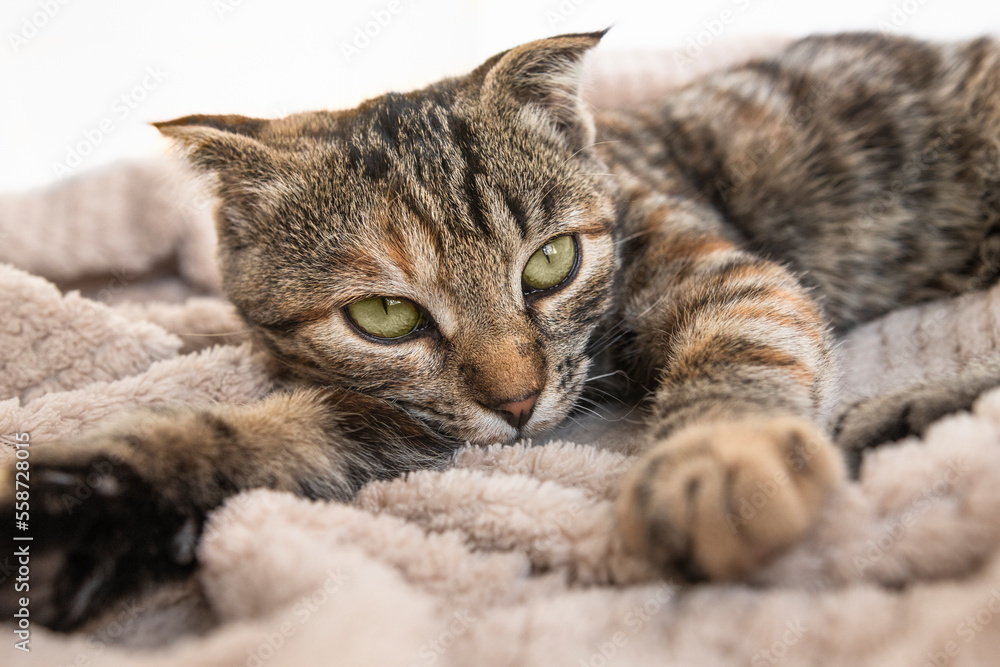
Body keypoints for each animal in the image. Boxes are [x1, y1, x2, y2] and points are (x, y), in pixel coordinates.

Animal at [5, 30, 1000, 632]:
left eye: (551, 263)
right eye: (385, 316)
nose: (518, 402)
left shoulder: (732, 277)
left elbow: (740, 343)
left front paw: (717, 466)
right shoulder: (401, 414)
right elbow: (260, 433)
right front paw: (90, 505)